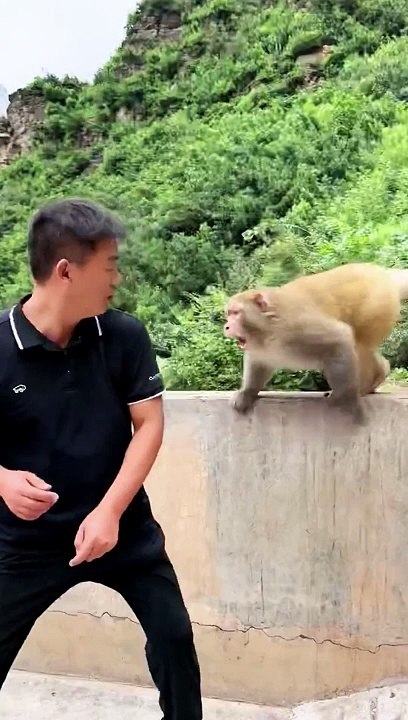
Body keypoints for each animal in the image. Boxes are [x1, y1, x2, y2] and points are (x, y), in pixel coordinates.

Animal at [223, 262, 408, 424]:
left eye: (236, 313)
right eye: (229, 313)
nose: (226, 326)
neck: (268, 328)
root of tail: (384, 274)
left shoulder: (297, 327)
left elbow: (340, 336)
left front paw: (346, 399)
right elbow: (259, 363)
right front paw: (247, 392)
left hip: (376, 307)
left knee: (359, 343)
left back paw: (368, 382)